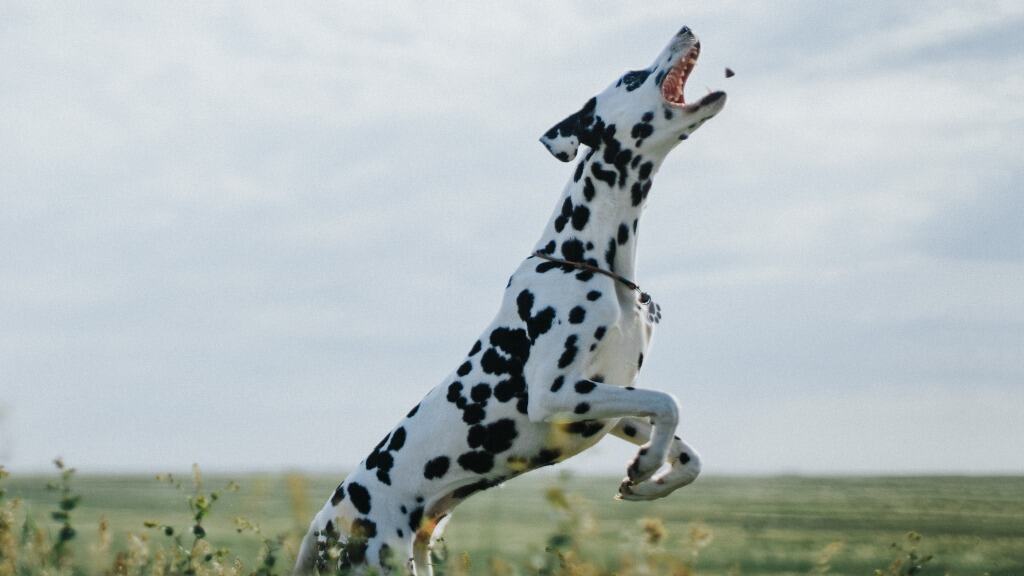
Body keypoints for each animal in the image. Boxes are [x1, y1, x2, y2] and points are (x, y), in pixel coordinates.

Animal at [294, 24, 729, 569]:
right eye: (631, 77)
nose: (686, 28)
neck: (586, 257)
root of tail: (326, 523)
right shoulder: (556, 391)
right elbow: (669, 401)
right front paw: (648, 464)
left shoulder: (603, 402)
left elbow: (687, 449)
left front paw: (649, 478)